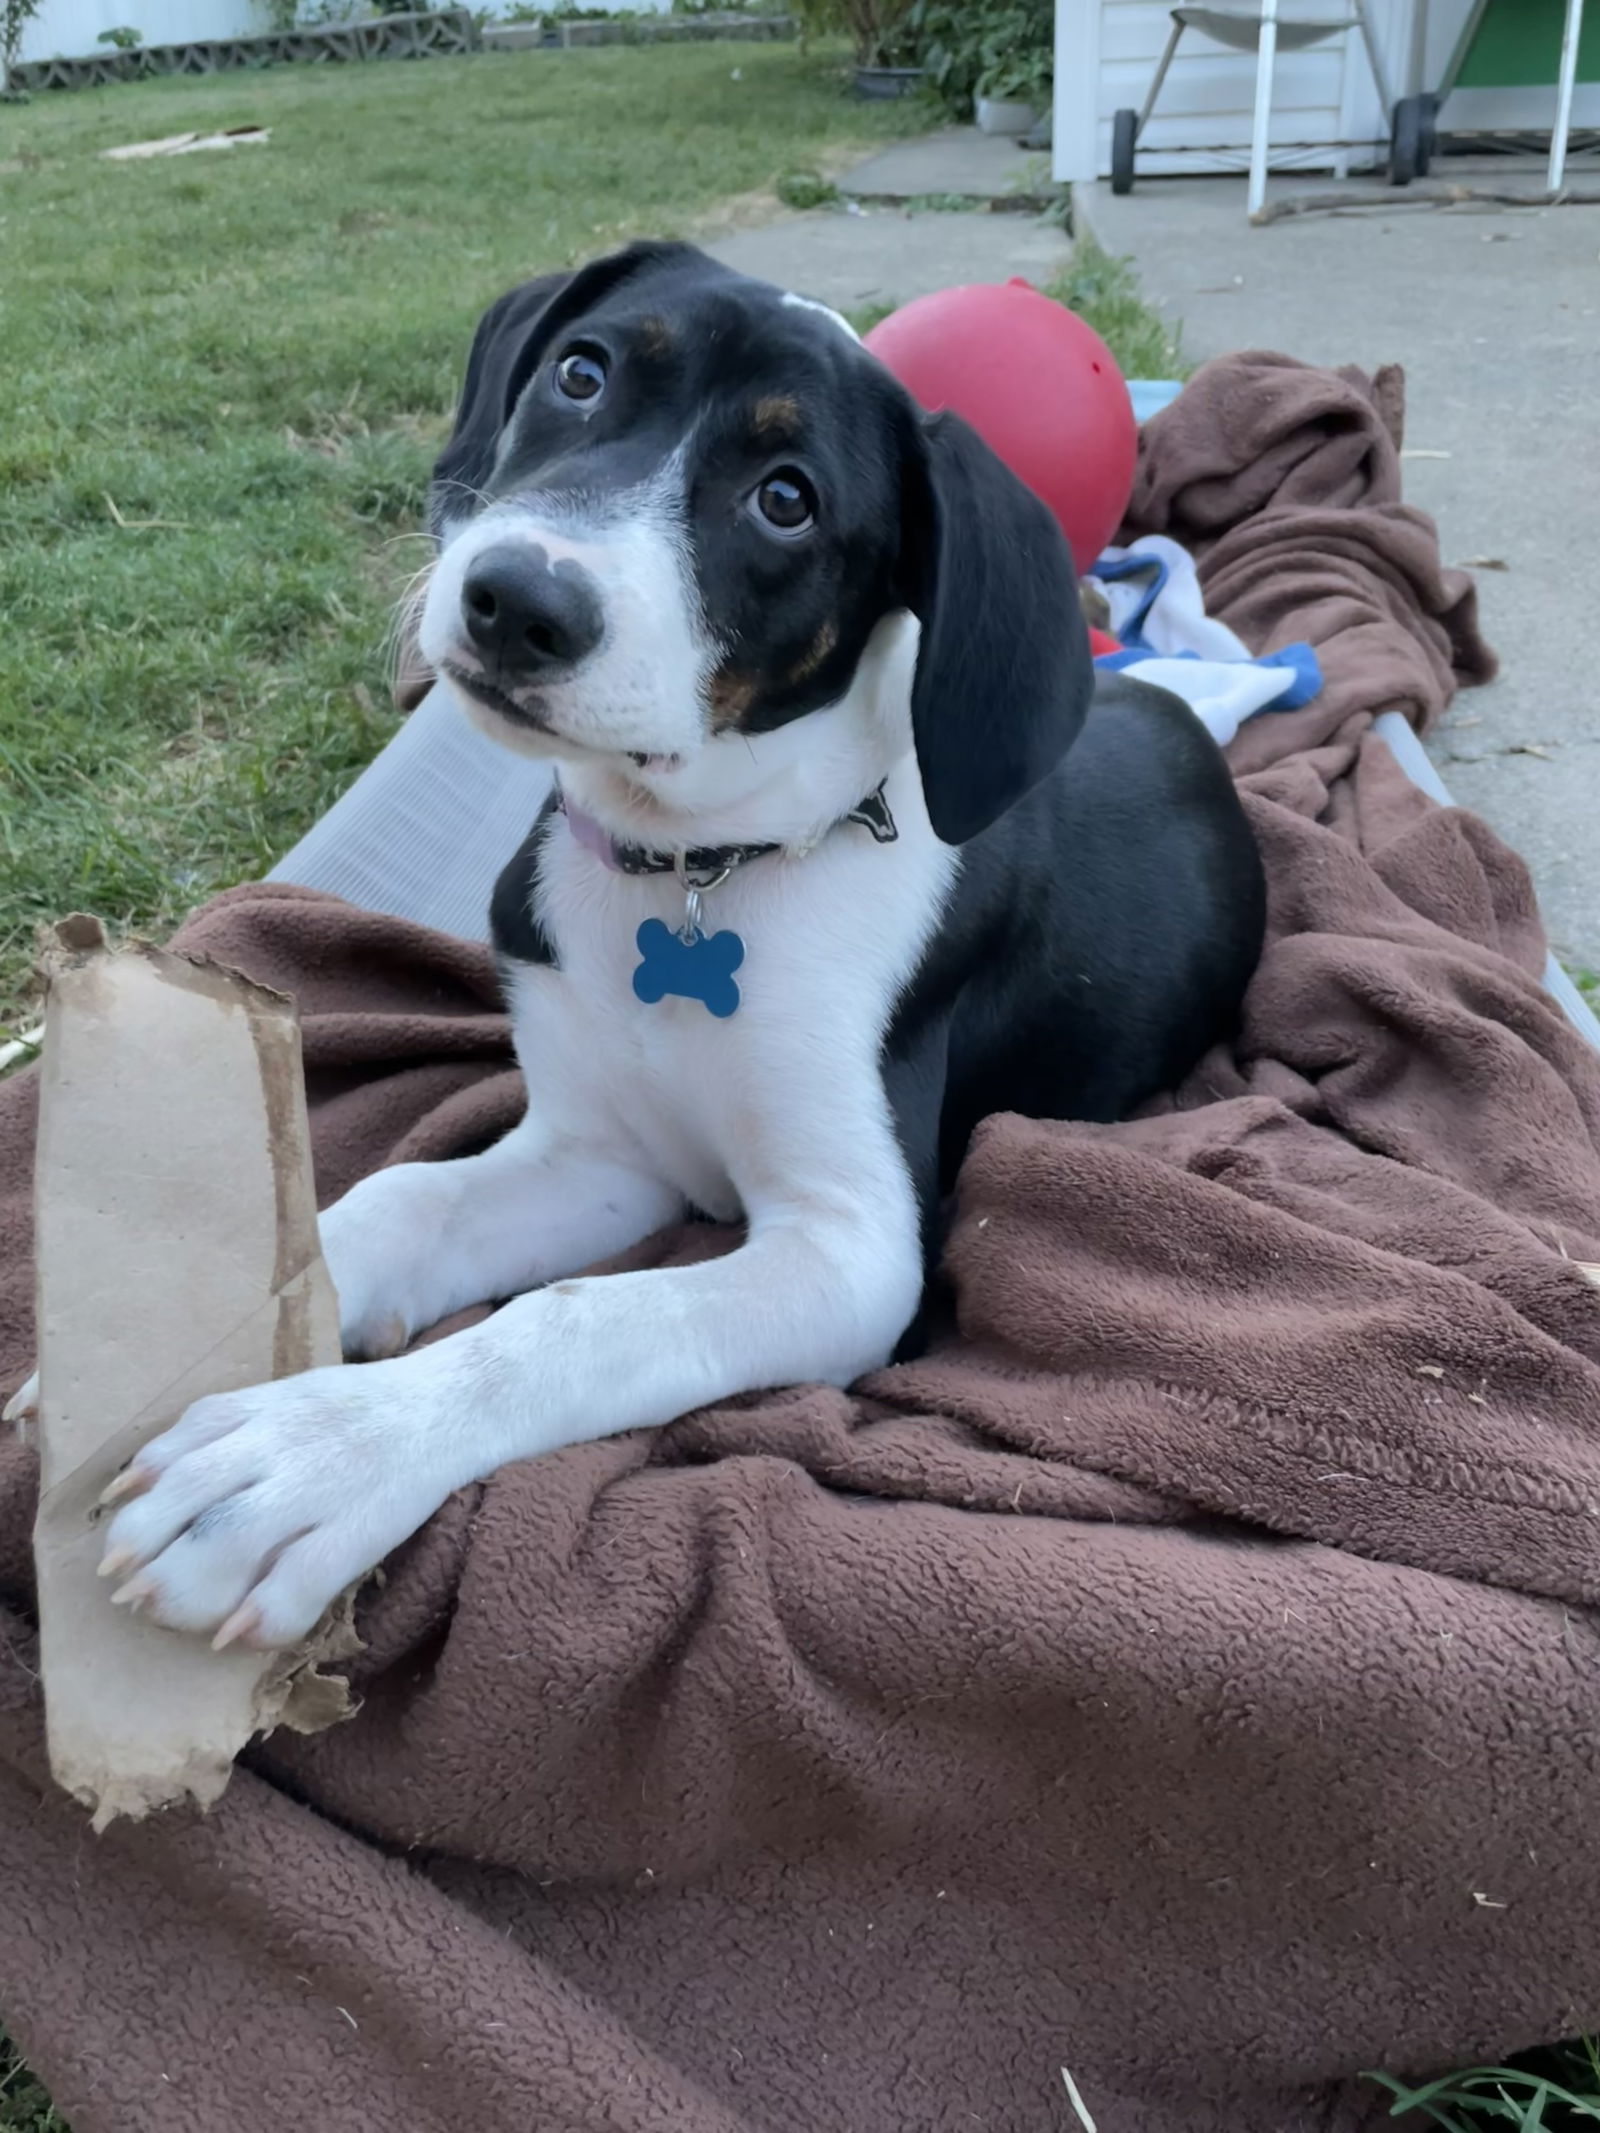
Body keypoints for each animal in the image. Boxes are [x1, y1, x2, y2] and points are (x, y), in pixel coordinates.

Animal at [46, 245, 1262, 1646]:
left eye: (786, 500)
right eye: (582, 373)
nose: (516, 599)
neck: (696, 874)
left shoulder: (853, 1247)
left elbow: (576, 1321)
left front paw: (312, 1461)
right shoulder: (604, 1155)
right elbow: (402, 1199)